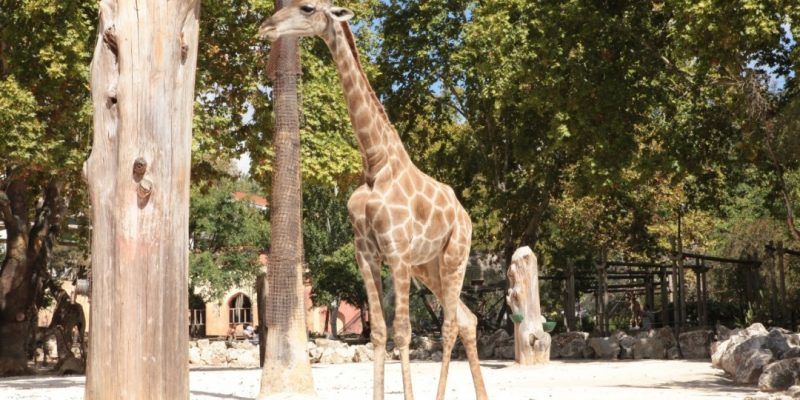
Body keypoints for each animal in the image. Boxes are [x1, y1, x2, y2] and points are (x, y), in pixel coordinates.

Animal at [260, 1, 488, 398]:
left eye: (307, 8)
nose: (267, 27)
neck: (374, 160)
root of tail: (465, 215)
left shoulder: (396, 254)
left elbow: (404, 333)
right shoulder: (366, 254)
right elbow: (380, 333)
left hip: (454, 256)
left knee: (449, 325)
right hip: (429, 267)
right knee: (467, 318)